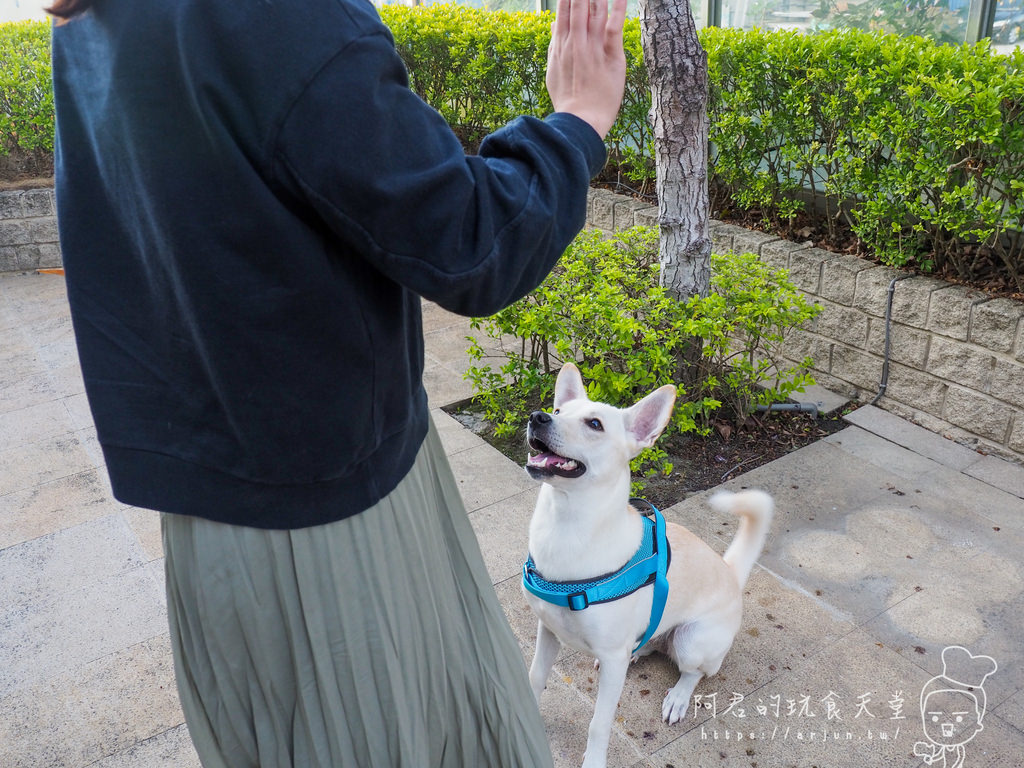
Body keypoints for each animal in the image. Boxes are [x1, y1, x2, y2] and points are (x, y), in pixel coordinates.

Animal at [524, 364, 770, 768]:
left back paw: (679, 696)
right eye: (559, 411)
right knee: (652, 643)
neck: (566, 526)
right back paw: (640, 651)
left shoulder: (612, 660)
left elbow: (599, 724)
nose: (537, 417)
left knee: (695, 672)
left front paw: (593, 762)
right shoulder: (548, 631)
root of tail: (731, 574)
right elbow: (534, 677)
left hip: (692, 640)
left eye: (594, 424)